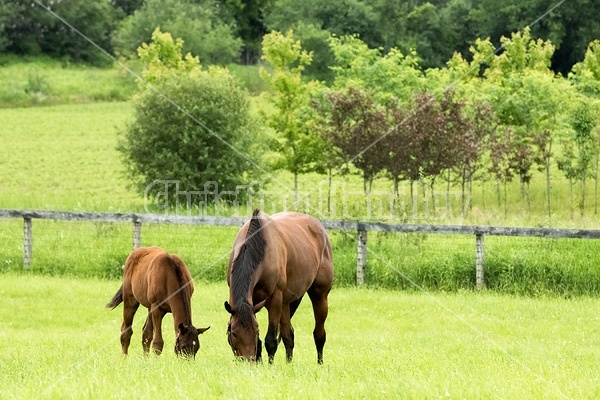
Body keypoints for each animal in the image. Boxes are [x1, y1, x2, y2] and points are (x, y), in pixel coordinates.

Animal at [224, 211, 332, 364]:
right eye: (233, 332)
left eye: (256, 330)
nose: (247, 361)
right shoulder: (254, 303)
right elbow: (262, 342)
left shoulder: (275, 300)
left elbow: (270, 340)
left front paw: (270, 366)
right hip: (285, 304)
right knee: (288, 335)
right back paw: (289, 364)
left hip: (319, 295)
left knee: (319, 334)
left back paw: (320, 363)